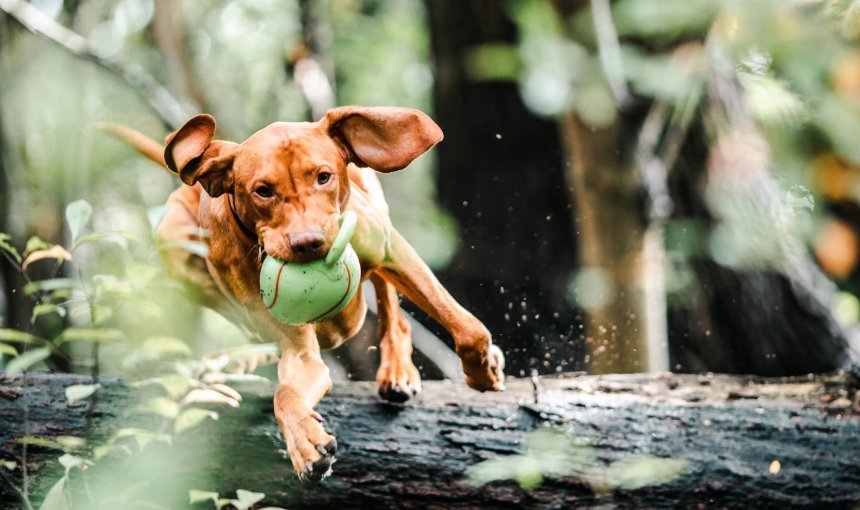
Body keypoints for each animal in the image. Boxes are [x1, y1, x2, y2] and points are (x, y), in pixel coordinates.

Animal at [111, 107, 508, 482]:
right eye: (263, 190)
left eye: (323, 176)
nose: (308, 243)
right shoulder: (298, 350)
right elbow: (286, 393)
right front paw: (305, 442)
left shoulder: (391, 250)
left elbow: (466, 328)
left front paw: (483, 370)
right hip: (174, 240)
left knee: (388, 301)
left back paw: (397, 368)